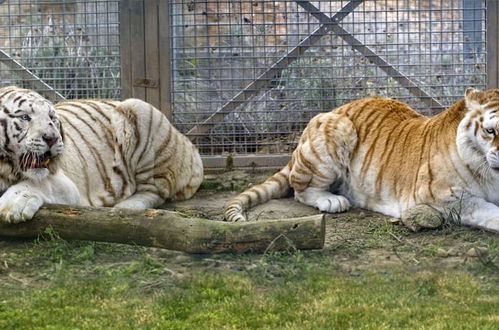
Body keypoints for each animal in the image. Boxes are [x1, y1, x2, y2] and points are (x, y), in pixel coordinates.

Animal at [0, 86, 204, 223]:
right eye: (25, 117)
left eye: (51, 118)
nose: (52, 138)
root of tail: (189, 144)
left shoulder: (66, 185)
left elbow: (38, 184)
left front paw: (13, 204)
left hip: (140, 113)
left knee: (156, 191)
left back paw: (121, 210)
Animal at [226, 88, 499, 232]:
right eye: (491, 131)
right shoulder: (443, 196)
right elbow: (487, 209)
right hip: (337, 131)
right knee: (300, 190)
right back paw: (333, 201)